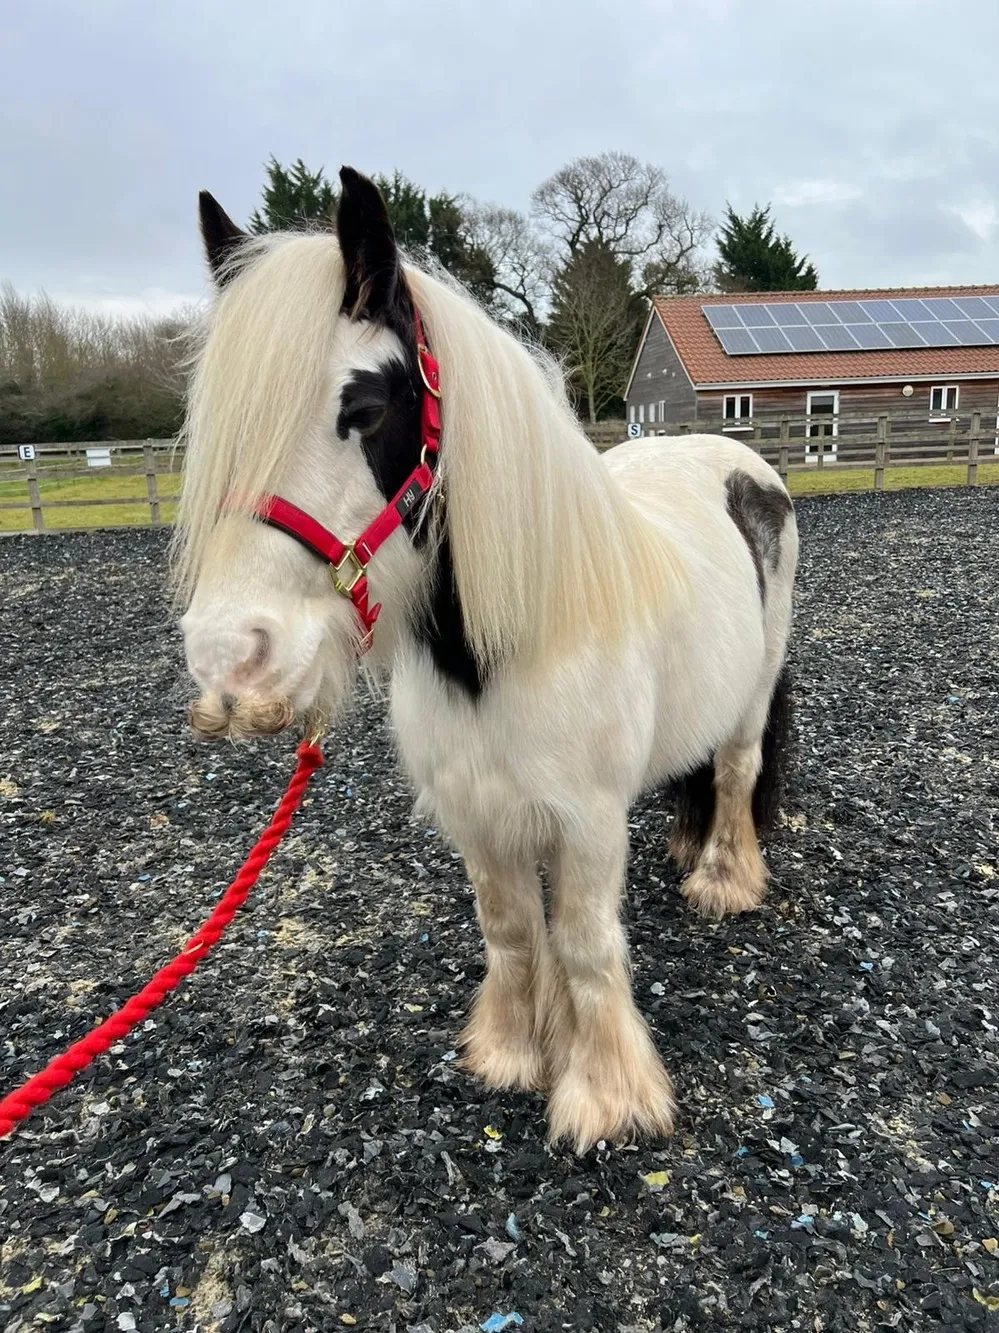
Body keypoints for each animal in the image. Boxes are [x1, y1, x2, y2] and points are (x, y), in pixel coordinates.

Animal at [172, 166, 798, 1152]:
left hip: (754, 690)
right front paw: (511, 1051)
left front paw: (604, 1095)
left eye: (362, 409)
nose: (229, 658)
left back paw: (722, 880)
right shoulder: (477, 813)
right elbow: (508, 929)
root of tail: (739, 460)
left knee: (735, 771)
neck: (502, 649)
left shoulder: (585, 822)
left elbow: (584, 943)